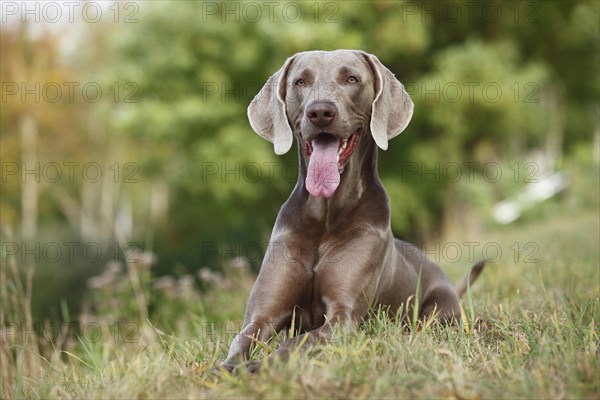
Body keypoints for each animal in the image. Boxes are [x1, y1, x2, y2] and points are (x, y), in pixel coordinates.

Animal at [223, 50, 486, 372]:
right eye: (300, 81)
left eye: (352, 79)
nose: (320, 112)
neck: (325, 216)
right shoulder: (261, 316)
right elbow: (238, 344)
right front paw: (226, 368)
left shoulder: (341, 316)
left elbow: (297, 343)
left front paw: (260, 366)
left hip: (440, 308)